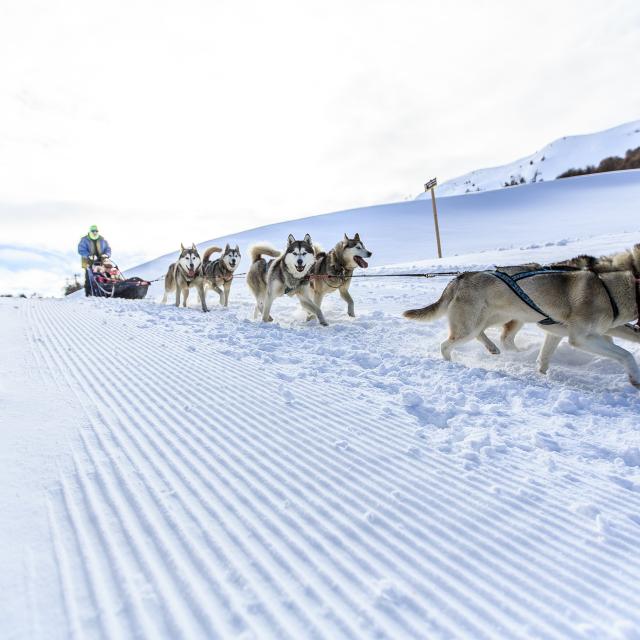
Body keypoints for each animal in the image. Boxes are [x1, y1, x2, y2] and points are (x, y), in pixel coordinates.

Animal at [404, 244, 640, 384]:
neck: (608, 290)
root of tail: (460, 277)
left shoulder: (560, 332)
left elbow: (544, 359)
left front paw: (542, 373)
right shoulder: (582, 337)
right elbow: (624, 353)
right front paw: (635, 377)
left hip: (497, 317)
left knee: (489, 335)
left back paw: (497, 349)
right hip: (473, 326)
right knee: (447, 345)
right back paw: (452, 362)